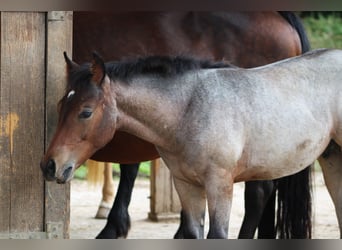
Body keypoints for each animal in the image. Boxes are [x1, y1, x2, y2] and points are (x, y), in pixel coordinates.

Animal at [40, 48, 342, 238]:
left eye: (86, 112)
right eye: (59, 106)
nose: (49, 166)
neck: (189, 110)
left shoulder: (220, 185)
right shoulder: (186, 185)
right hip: (331, 161)